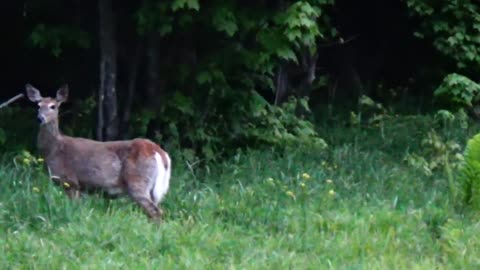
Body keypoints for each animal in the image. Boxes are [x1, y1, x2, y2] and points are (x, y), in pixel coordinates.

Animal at [26, 84, 172, 219]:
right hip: (154, 188)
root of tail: (159, 152)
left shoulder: (70, 180)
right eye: (38, 105)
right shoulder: (81, 187)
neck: (54, 149)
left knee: (155, 212)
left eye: (53, 106)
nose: (40, 118)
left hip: (138, 181)